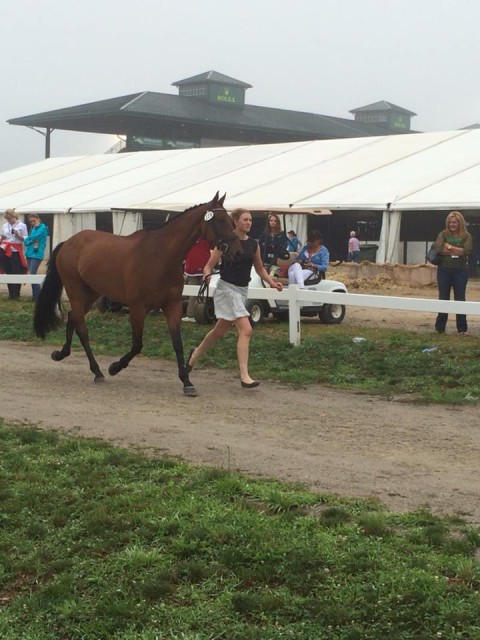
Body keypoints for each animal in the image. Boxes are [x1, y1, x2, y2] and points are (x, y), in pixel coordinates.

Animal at [32, 192, 240, 398]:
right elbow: (137, 344)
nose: (237, 252)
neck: (160, 257)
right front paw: (115, 367)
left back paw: (61, 354)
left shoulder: (172, 305)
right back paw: (97, 372)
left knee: (72, 318)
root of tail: (68, 242)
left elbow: (177, 343)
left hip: (91, 293)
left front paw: (186, 381)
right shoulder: (137, 308)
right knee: (82, 330)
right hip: (75, 291)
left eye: (231, 220)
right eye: (220, 220)